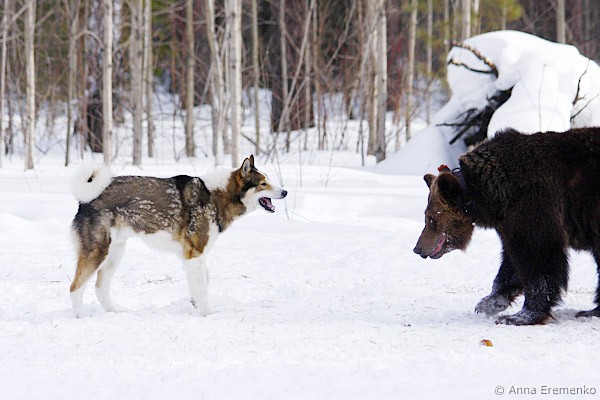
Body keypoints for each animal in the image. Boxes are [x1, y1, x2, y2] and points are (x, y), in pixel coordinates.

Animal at [69, 155, 287, 317]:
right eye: (263, 184)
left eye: (268, 181)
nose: (284, 191)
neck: (216, 196)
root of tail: (88, 197)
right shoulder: (194, 254)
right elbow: (203, 287)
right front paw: (208, 313)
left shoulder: (190, 256)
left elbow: (203, 280)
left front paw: (195, 302)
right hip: (98, 252)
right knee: (75, 288)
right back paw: (82, 316)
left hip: (115, 254)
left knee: (100, 288)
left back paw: (116, 311)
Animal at [413, 128, 600, 325]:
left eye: (430, 219)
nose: (418, 248)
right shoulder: (509, 220)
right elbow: (511, 262)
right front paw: (490, 302)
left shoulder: (533, 203)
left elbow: (539, 257)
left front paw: (520, 315)